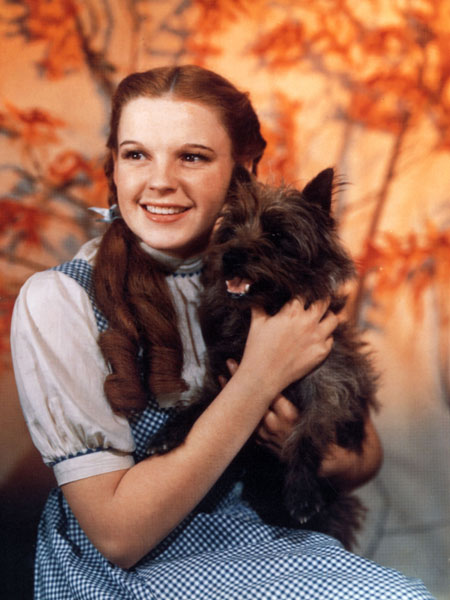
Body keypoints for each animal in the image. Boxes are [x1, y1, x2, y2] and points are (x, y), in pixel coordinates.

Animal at [151, 168, 378, 549]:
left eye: (276, 234)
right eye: (231, 229)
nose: (230, 256)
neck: (259, 317)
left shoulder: (330, 390)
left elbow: (305, 434)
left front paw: (302, 493)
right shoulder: (228, 378)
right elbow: (206, 406)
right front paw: (171, 431)